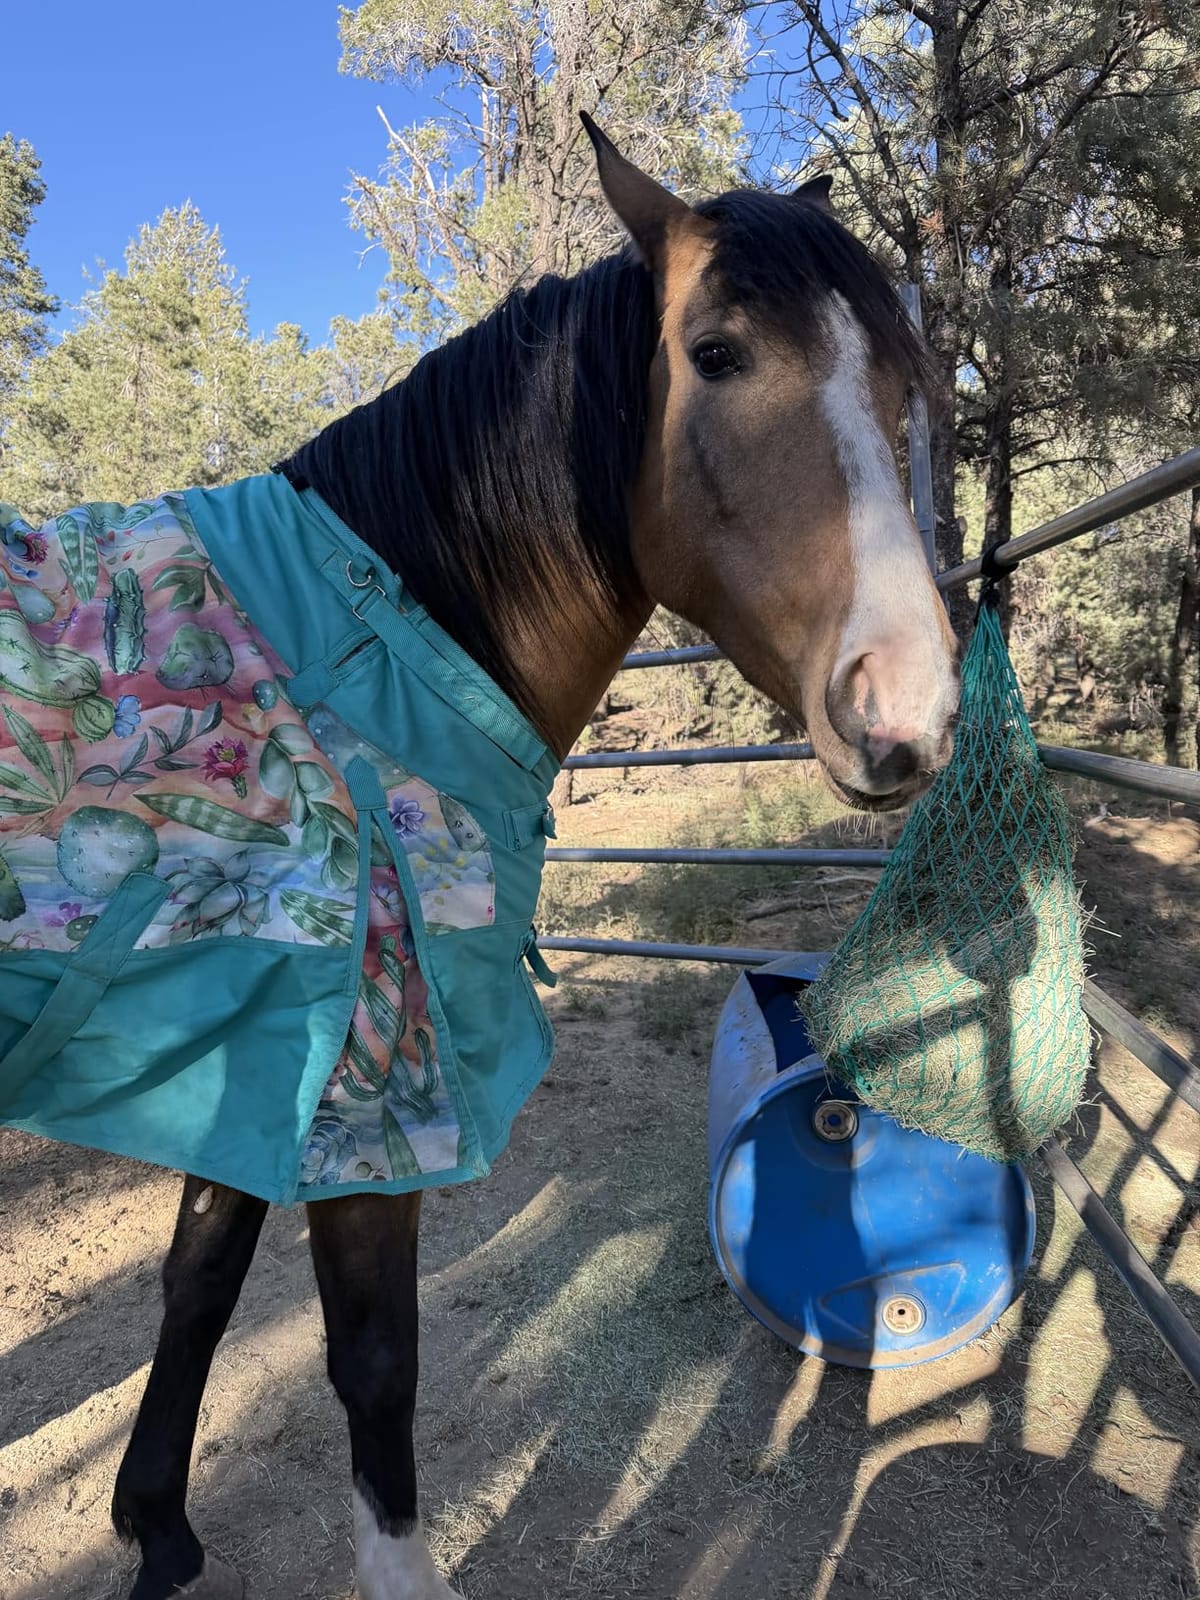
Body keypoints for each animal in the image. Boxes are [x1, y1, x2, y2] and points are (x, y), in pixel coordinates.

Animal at [3, 118, 958, 1600]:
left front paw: (157, 1530)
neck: (362, 643)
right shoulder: (373, 1079)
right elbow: (374, 1361)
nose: (905, 705)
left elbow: (199, 1285)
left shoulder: (264, 1049)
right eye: (717, 353)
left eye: (909, 380)